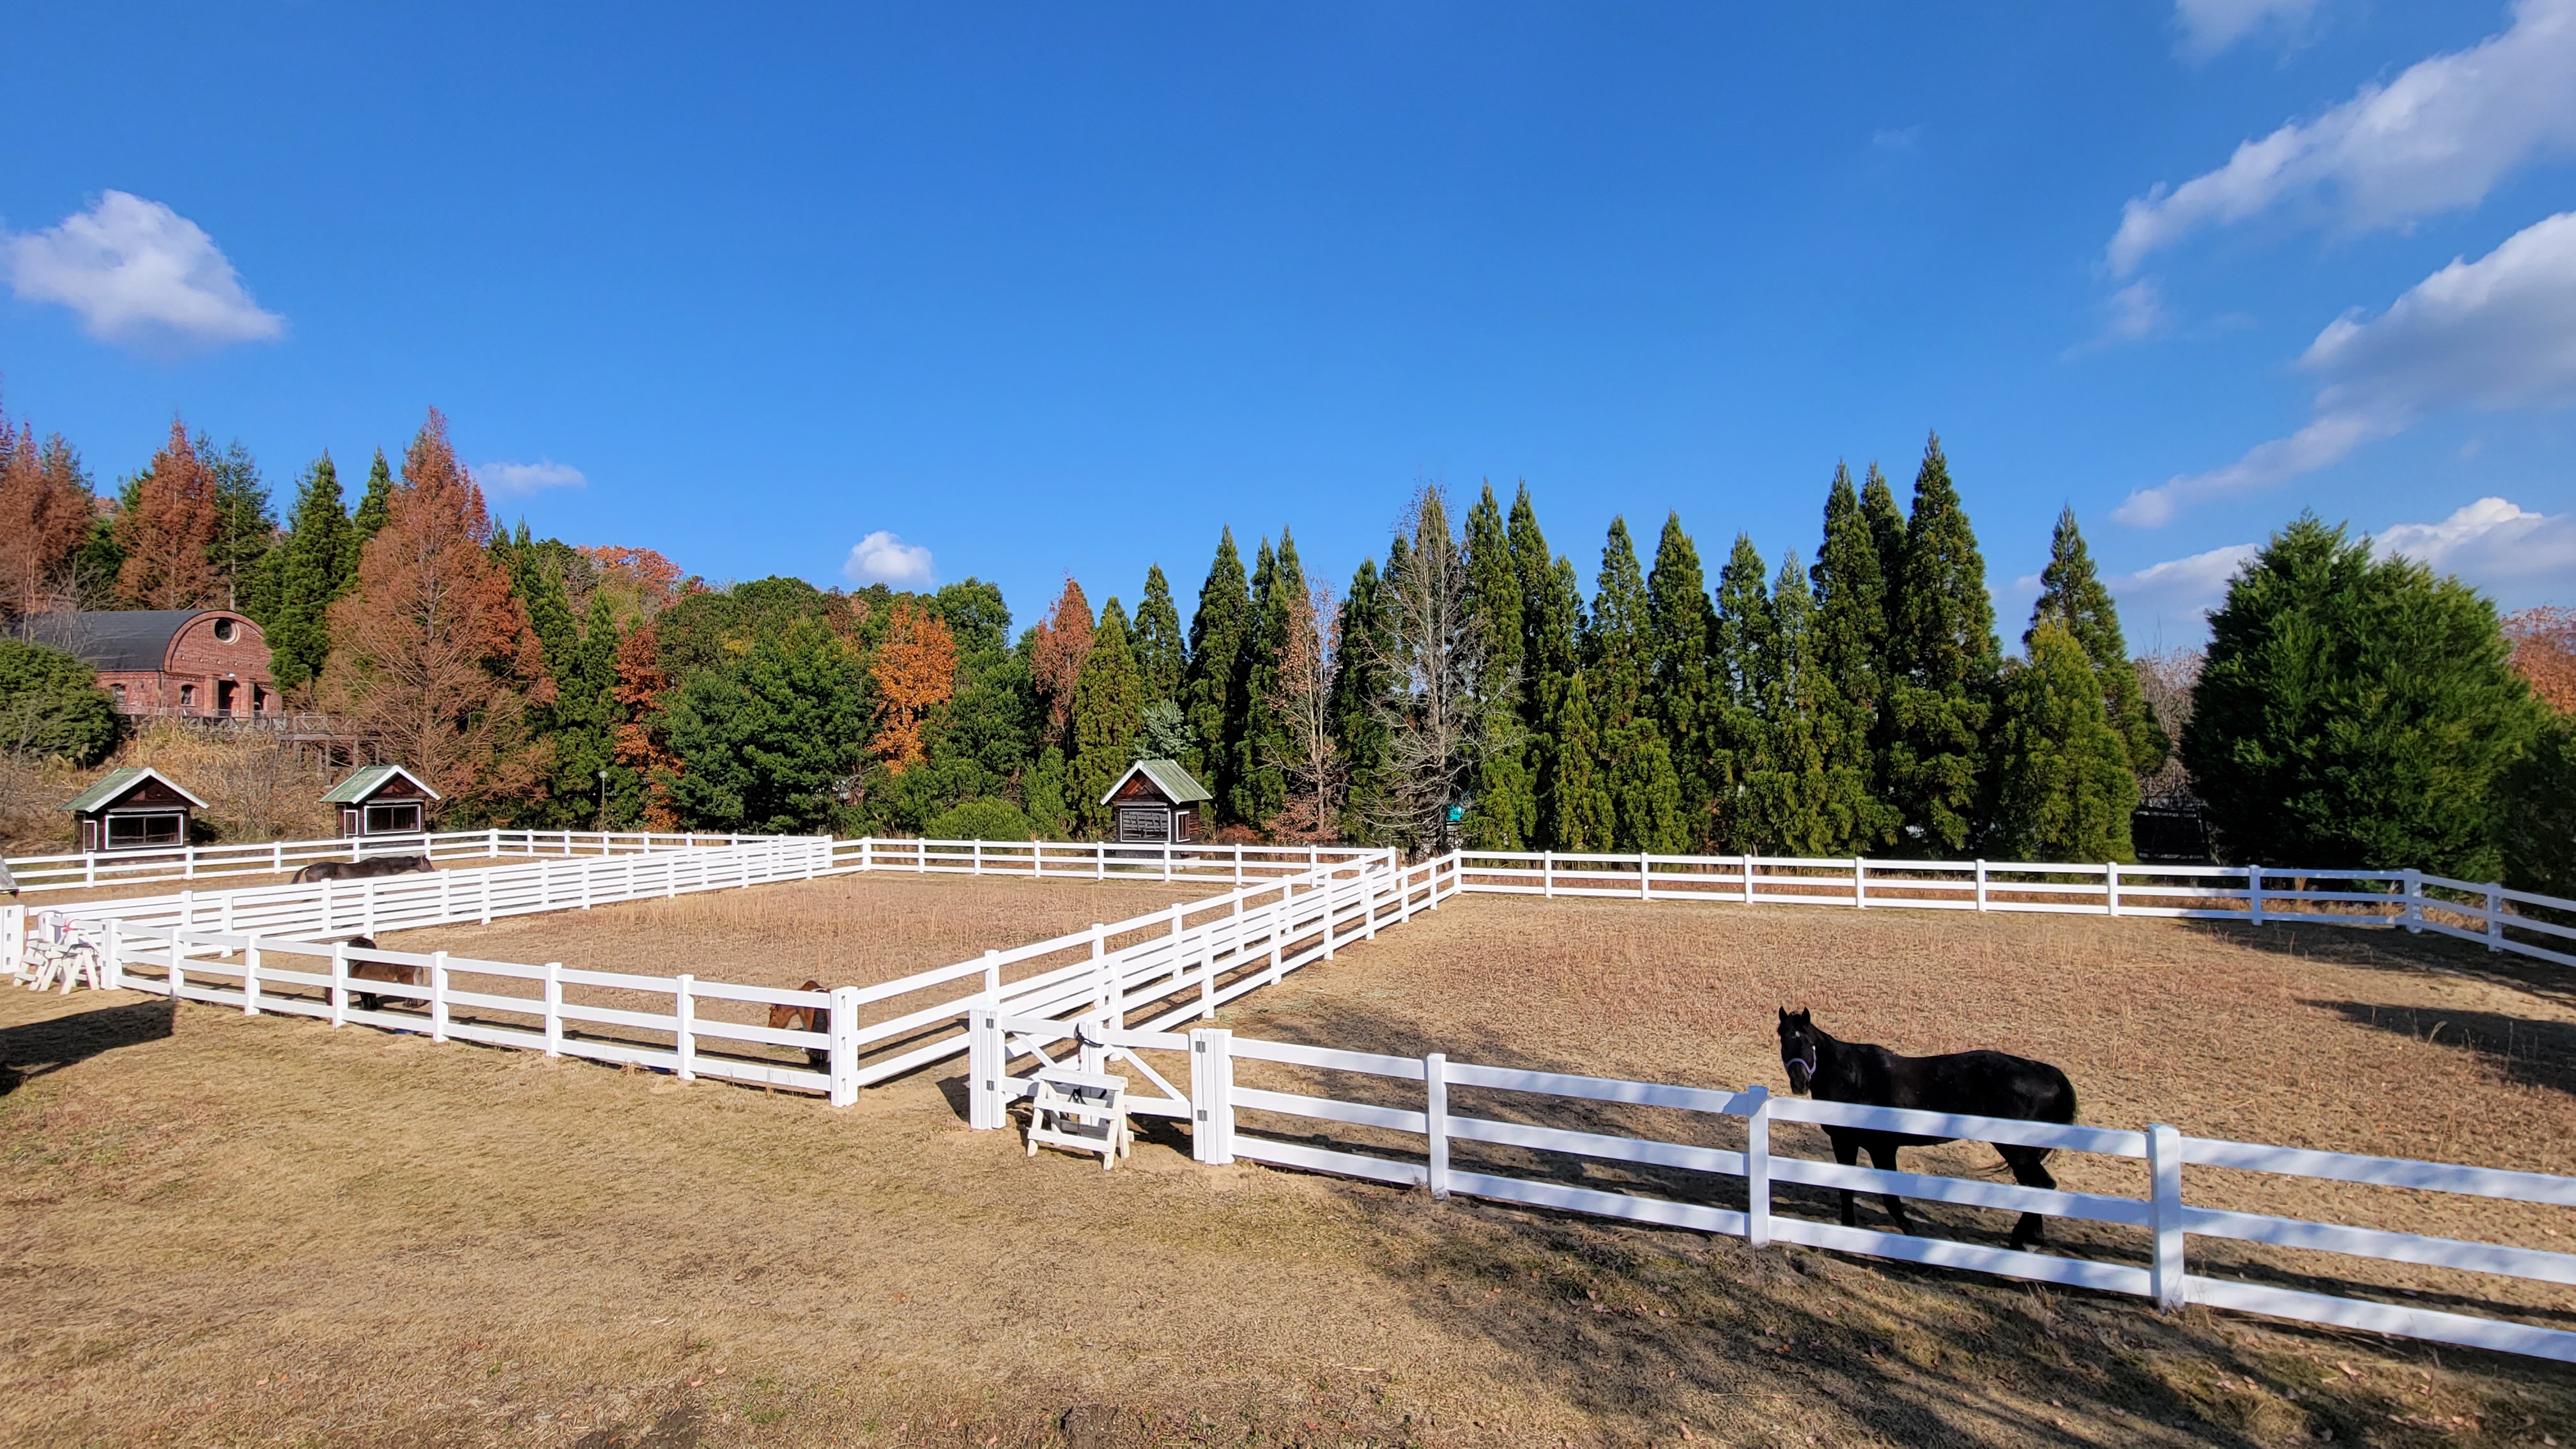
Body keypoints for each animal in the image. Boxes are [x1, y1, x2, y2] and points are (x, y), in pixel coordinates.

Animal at [1774, 1007, 2077, 1251]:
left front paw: (1911, 1232)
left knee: (2042, 1186)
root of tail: (2048, 1074)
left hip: (2017, 1150)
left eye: (1808, 1042)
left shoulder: (1882, 1148)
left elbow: (1890, 1197)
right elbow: (1846, 1188)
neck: (1855, 1078)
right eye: (1784, 1040)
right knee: (2035, 1187)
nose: (1800, 1083)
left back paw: (2025, 1242)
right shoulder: (1845, 1142)